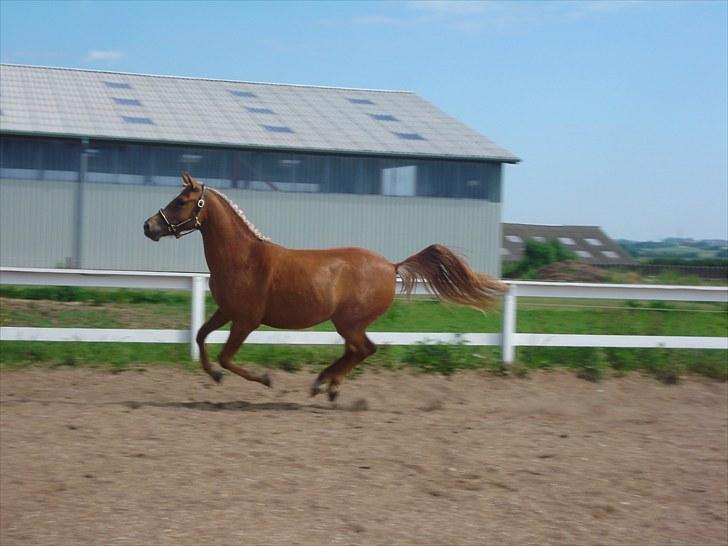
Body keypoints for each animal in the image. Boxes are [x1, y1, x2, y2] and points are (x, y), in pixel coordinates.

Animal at [143, 174, 506, 400]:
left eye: (180, 200)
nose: (149, 226)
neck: (242, 258)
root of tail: (391, 266)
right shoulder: (226, 311)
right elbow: (200, 337)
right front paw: (214, 376)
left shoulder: (246, 320)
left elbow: (226, 356)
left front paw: (265, 379)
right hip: (349, 324)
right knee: (357, 351)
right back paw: (325, 385)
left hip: (349, 322)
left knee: (364, 350)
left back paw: (323, 385)